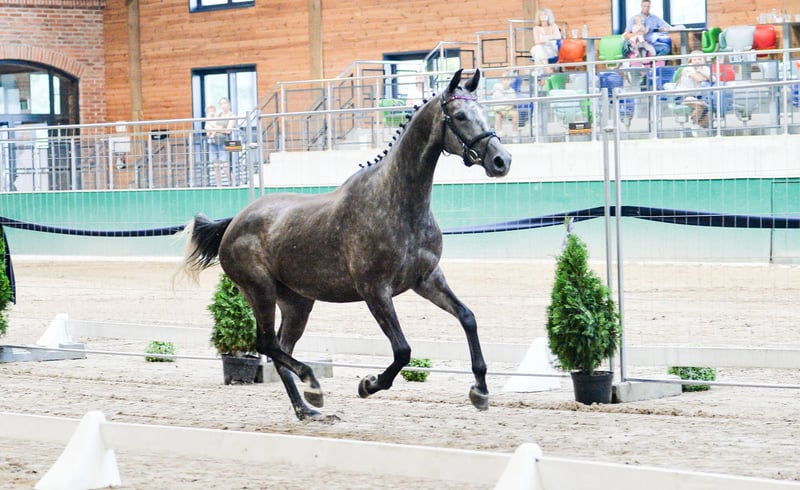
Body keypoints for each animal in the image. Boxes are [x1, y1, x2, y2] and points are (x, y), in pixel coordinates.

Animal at [182, 69, 511, 421]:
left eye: (484, 111)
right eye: (460, 116)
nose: (502, 160)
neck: (397, 202)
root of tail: (234, 222)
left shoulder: (426, 279)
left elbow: (467, 317)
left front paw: (480, 390)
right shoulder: (375, 290)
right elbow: (403, 350)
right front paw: (368, 384)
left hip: (297, 302)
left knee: (281, 348)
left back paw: (308, 410)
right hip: (260, 291)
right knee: (267, 345)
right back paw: (313, 385)